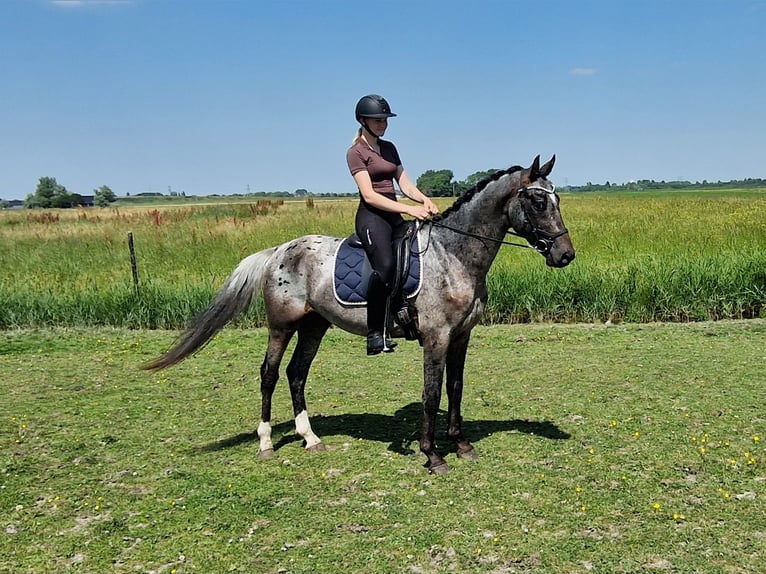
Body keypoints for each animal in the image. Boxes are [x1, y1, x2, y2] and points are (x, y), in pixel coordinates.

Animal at [144, 155, 576, 474]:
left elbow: (455, 388)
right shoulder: (436, 337)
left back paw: (311, 438)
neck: (452, 254)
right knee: (269, 374)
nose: (565, 255)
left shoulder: (461, 336)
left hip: (314, 326)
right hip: (281, 325)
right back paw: (266, 443)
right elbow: (431, 393)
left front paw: (462, 444)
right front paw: (433, 455)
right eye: (539, 202)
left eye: (557, 201)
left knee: (296, 374)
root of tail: (278, 251)